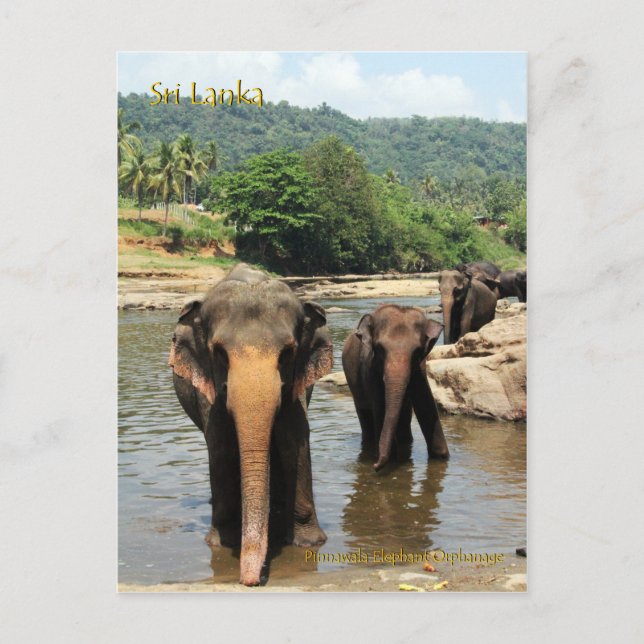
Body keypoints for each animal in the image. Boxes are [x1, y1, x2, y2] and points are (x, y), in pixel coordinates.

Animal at [168, 263, 333, 586]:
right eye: (219, 353)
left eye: (288, 353)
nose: (251, 581)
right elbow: (220, 445)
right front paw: (221, 543)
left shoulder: (296, 388)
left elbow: (295, 441)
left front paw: (309, 542)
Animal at [342, 304, 449, 472]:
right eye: (379, 348)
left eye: (417, 351)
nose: (374, 466)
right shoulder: (370, 368)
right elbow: (381, 409)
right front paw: (390, 460)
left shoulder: (419, 368)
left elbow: (426, 405)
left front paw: (441, 457)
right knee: (365, 416)